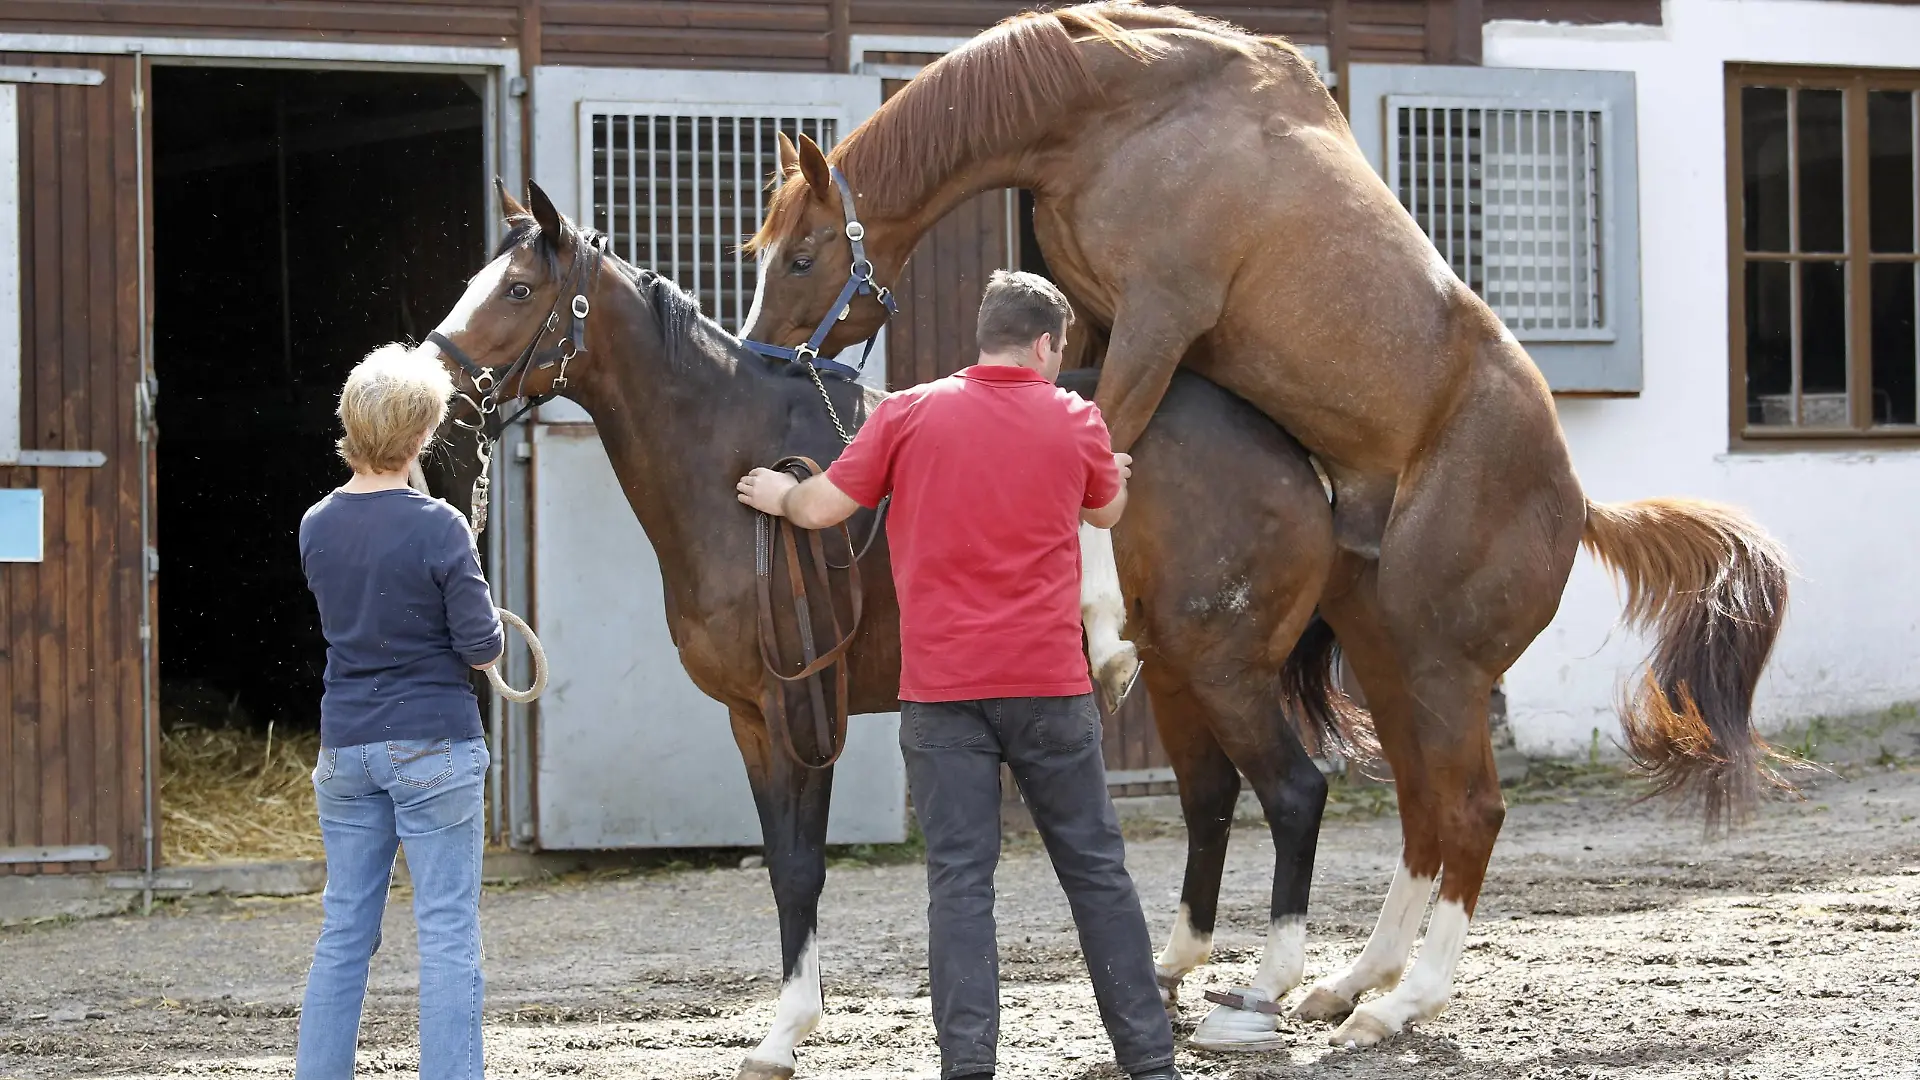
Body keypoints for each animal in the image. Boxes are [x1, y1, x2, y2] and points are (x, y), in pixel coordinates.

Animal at [422, 179, 1372, 1078]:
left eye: (517, 289)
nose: (436, 395)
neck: (737, 465)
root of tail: (1291, 456)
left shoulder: (801, 704)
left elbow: (802, 863)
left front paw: (785, 1032)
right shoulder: (751, 719)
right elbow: (783, 863)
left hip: (1228, 673)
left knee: (1294, 795)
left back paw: (1265, 994)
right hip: (1176, 675)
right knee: (1211, 801)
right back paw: (1176, 976)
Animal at [738, 1, 1794, 1047]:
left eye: (802, 255)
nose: (761, 360)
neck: (1124, 109)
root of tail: (1574, 501)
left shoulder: (1157, 321)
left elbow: (1103, 442)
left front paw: (1107, 637)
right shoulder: (1099, 320)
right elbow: (1095, 442)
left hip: (1446, 669)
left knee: (1472, 811)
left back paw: (1399, 1003)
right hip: (1389, 655)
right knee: (1423, 810)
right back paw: (1346, 985)